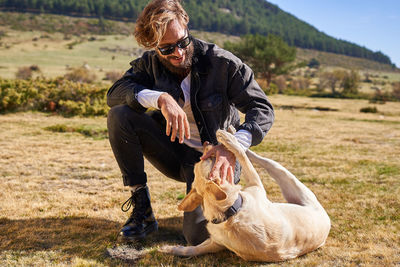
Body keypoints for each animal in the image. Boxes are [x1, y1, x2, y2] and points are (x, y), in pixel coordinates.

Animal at [160, 130, 332, 262]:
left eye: (207, 158)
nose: (206, 142)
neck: (230, 212)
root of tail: (327, 219)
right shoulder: (256, 184)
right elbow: (242, 156)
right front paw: (228, 138)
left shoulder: (215, 242)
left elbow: (193, 249)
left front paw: (171, 249)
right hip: (289, 180)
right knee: (262, 160)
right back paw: (233, 135)